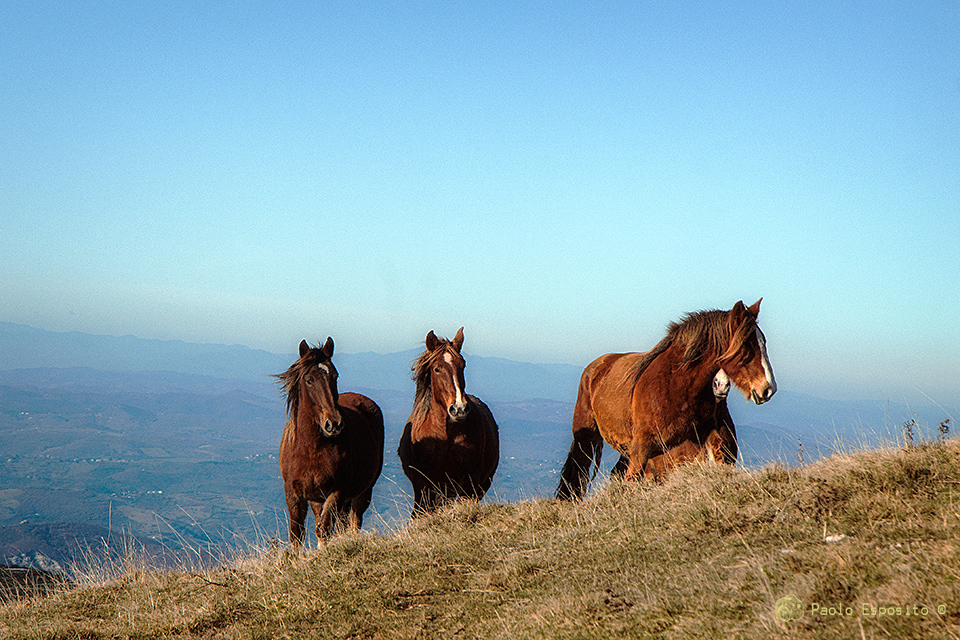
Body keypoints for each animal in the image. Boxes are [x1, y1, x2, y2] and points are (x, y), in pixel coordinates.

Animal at [276, 338, 384, 548]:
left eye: (335, 376)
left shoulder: (336, 492)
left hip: (363, 493)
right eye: (309, 380)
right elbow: (297, 535)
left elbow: (324, 530)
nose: (334, 423)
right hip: (318, 499)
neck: (310, 449)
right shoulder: (294, 494)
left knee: (352, 523)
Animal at [398, 328, 502, 516]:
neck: (446, 435)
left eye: (463, 365)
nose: (459, 408)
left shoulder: (468, 483)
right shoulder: (423, 484)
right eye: (437, 369)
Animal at [560, 300, 776, 500]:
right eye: (747, 345)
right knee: (577, 476)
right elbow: (632, 481)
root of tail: (596, 366)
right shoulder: (642, 448)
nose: (768, 389)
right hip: (586, 440)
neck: (677, 385)